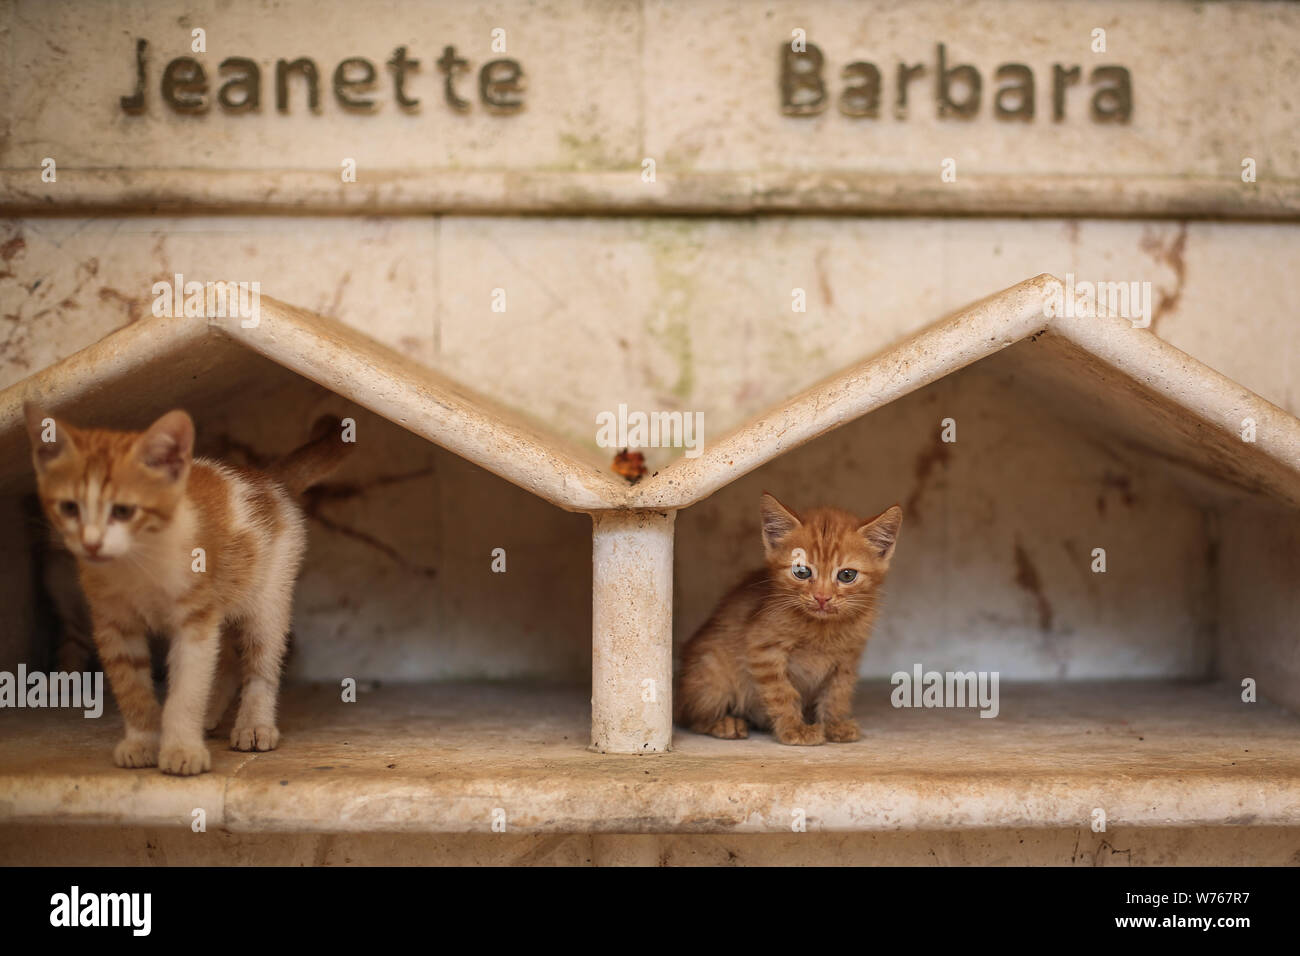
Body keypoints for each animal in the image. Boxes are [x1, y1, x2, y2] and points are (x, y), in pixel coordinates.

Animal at [26, 405, 351, 780]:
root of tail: (264, 478)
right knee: (228, 659)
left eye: (124, 510)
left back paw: (254, 725)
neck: (138, 566)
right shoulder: (113, 625)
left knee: (261, 664)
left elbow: (187, 688)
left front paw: (182, 749)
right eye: (69, 508)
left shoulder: (195, 622)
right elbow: (131, 687)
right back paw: (210, 715)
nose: (90, 543)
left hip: (268, 599)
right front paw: (142, 742)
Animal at [676, 494, 899, 749]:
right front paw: (794, 729)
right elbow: (782, 693)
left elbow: (838, 692)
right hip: (711, 673)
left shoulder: (847, 658)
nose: (822, 597)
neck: (821, 628)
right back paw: (724, 722)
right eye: (801, 571)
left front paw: (835, 724)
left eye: (846, 575)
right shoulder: (763, 650)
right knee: (690, 717)